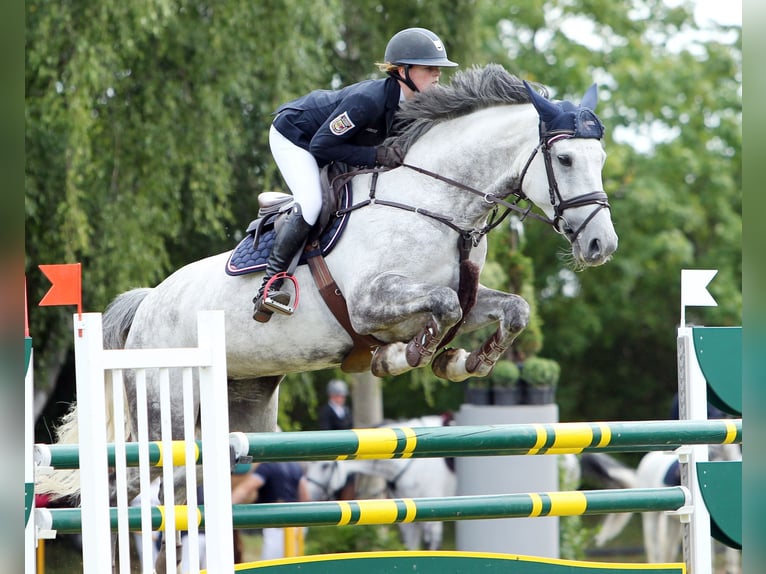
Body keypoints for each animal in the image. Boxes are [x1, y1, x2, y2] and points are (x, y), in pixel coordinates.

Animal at [40, 64, 616, 572]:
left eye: (602, 156)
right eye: (565, 158)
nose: (600, 245)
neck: (434, 202)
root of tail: (146, 305)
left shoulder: (465, 299)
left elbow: (509, 308)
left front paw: (466, 362)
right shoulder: (371, 302)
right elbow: (441, 309)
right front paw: (405, 357)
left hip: (239, 419)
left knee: (164, 494)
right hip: (170, 416)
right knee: (139, 493)